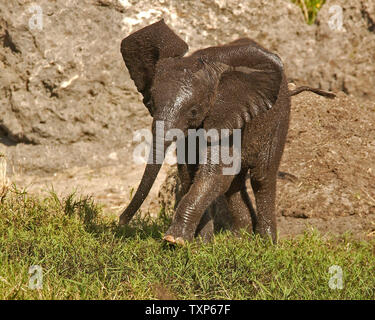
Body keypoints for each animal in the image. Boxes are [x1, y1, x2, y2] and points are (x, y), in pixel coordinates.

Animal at [118, 20, 334, 244]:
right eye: (151, 104)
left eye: (194, 110)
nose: (120, 222)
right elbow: (190, 174)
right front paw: (201, 243)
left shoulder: (227, 115)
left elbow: (214, 173)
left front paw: (174, 240)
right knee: (235, 183)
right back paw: (240, 239)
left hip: (280, 117)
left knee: (262, 177)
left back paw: (265, 242)